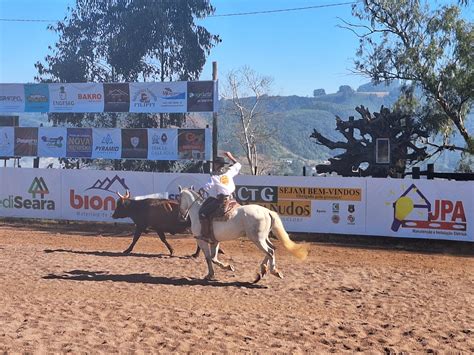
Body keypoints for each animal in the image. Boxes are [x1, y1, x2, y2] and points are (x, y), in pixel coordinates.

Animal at [177, 188, 308, 282]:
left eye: (178, 200)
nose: (181, 216)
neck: (197, 211)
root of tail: (267, 211)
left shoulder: (202, 241)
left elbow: (209, 258)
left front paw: (216, 272)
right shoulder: (215, 241)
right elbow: (213, 258)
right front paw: (218, 271)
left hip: (257, 239)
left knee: (270, 251)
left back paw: (273, 271)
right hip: (263, 238)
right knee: (272, 249)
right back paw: (262, 271)